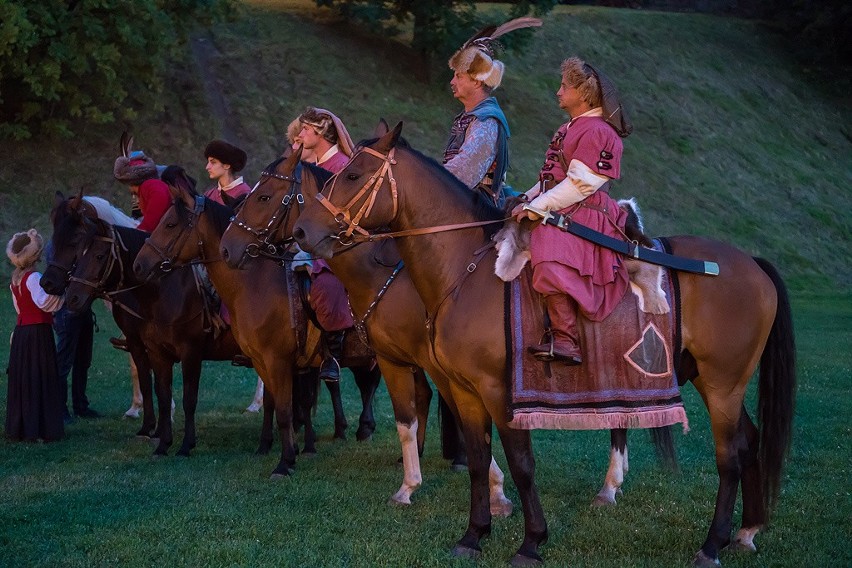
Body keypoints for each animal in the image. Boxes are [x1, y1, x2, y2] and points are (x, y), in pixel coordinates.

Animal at [42, 195, 243, 458]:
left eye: (74, 242)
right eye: (56, 235)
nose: (48, 283)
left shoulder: (189, 352)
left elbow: (185, 397)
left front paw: (178, 438)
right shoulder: (141, 343)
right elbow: (152, 385)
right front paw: (152, 429)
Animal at [132, 174, 380, 480]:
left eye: (170, 224)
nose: (139, 265)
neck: (254, 284)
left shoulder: (264, 359)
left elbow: (282, 408)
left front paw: (285, 461)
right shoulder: (260, 360)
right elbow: (273, 404)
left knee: (369, 384)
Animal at [220, 149, 680, 508]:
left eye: (264, 196)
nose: (227, 248)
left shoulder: (435, 365)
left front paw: (486, 488)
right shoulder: (415, 362)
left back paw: (610, 486)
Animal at [290, 123, 796, 564]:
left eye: (352, 174)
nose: (301, 232)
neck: (465, 271)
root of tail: (750, 262)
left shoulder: (500, 391)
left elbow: (521, 463)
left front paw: (531, 542)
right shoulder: (465, 391)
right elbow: (478, 459)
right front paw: (473, 536)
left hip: (723, 384)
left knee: (729, 456)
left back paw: (711, 545)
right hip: (717, 383)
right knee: (749, 441)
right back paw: (746, 532)